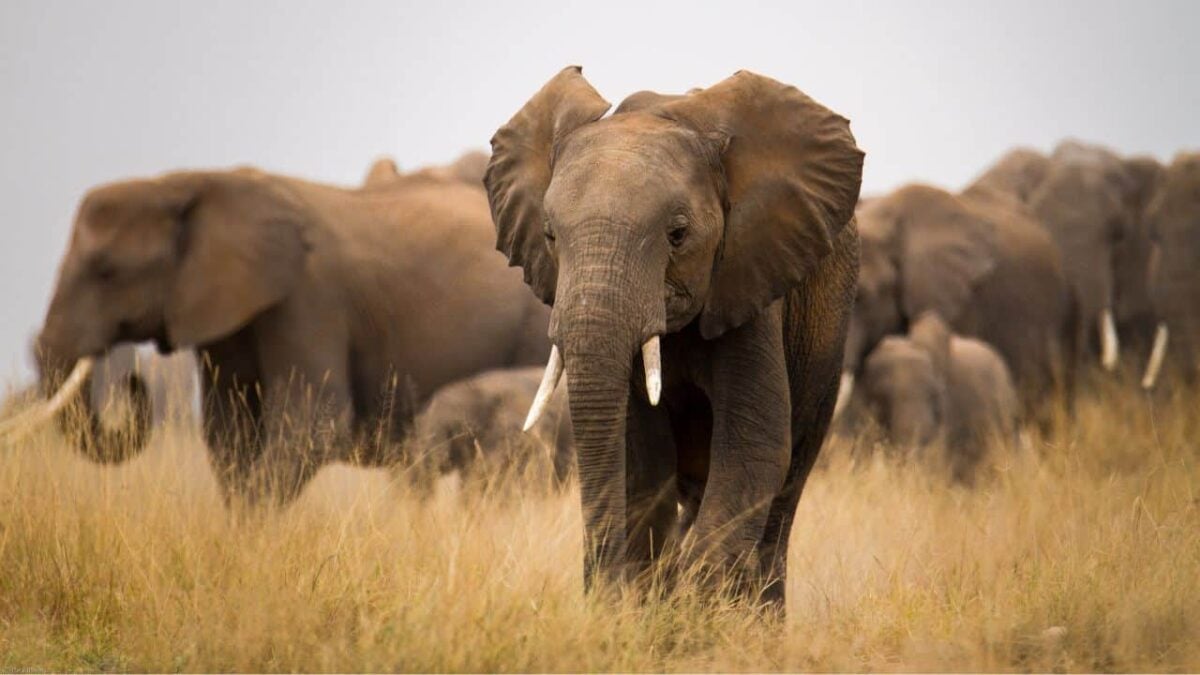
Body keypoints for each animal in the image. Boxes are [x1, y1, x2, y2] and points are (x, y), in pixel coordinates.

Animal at [26, 164, 551, 505]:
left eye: (107, 272)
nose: (132, 383)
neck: (192, 183)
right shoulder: (229, 314)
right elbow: (229, 434)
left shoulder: (310, 298)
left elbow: (313, 425)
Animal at [485, 66, 863, 606]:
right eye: (551, 236)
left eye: (678, 234)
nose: (596, 588)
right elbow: (642, 460)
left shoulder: (751, 281)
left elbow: (754, 448)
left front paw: (695, 610)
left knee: (784, 494)